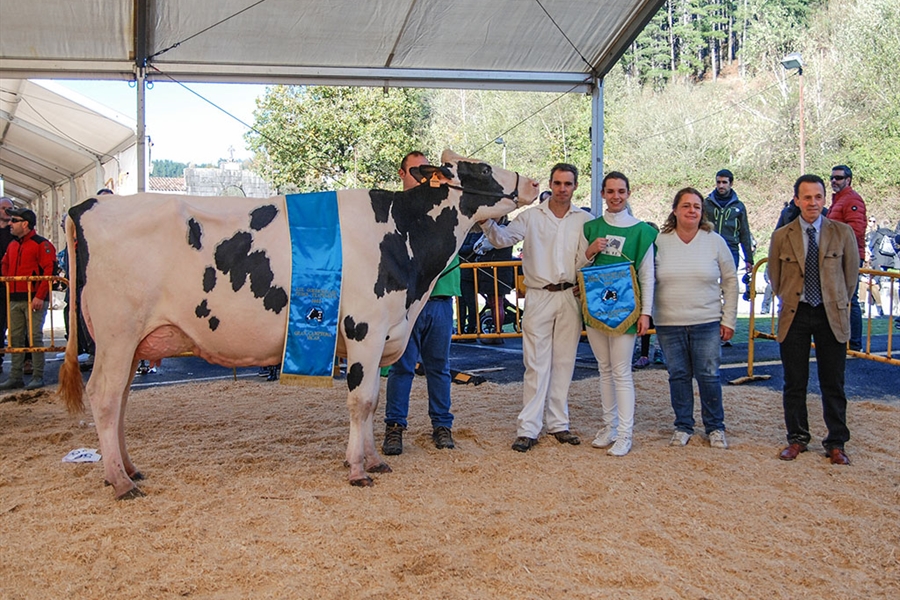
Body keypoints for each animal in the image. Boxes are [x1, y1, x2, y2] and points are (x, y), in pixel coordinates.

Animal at [59, 151, 536, 502]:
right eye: (481, 168)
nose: (533, 183)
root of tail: (90, 203)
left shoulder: (385, 334)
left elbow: (375, 401)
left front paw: (374, 460)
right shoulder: (365, 329)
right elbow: (362, 401)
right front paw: (359, 470)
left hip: (131, 342)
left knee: (120, 400)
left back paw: (127, 469)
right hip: (117, 334)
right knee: (105, 398)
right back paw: (121, 482)